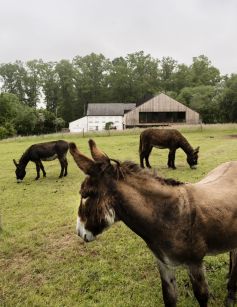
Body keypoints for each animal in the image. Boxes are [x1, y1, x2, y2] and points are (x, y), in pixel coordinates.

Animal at [69, 140, 237, 307]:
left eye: (85, 195)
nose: (79, 232)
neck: (168, 216)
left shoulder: (195, 264)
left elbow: (202, 297)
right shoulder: (163, 263)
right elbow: (169, 297)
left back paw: (230, 294)